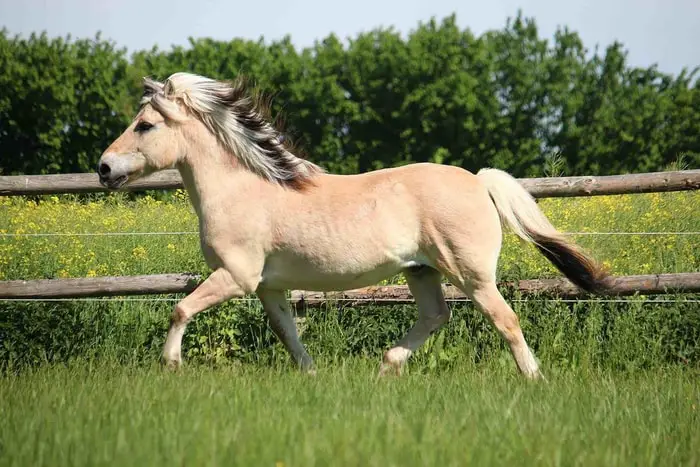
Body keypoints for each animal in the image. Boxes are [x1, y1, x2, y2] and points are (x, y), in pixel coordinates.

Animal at [97, 72, 610, 379]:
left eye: (144, 125)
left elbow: (180, 310)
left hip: (472, 274)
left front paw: (171, 365)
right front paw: (312, 376)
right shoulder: (267, 286)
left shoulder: (237, 276)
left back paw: (533, 378)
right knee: (435, 316)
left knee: (505, 320)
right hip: (421, 270)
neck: (242, 188)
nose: (103, 168)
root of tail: (479, 181)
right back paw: (386, 368)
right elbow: (288, 332)